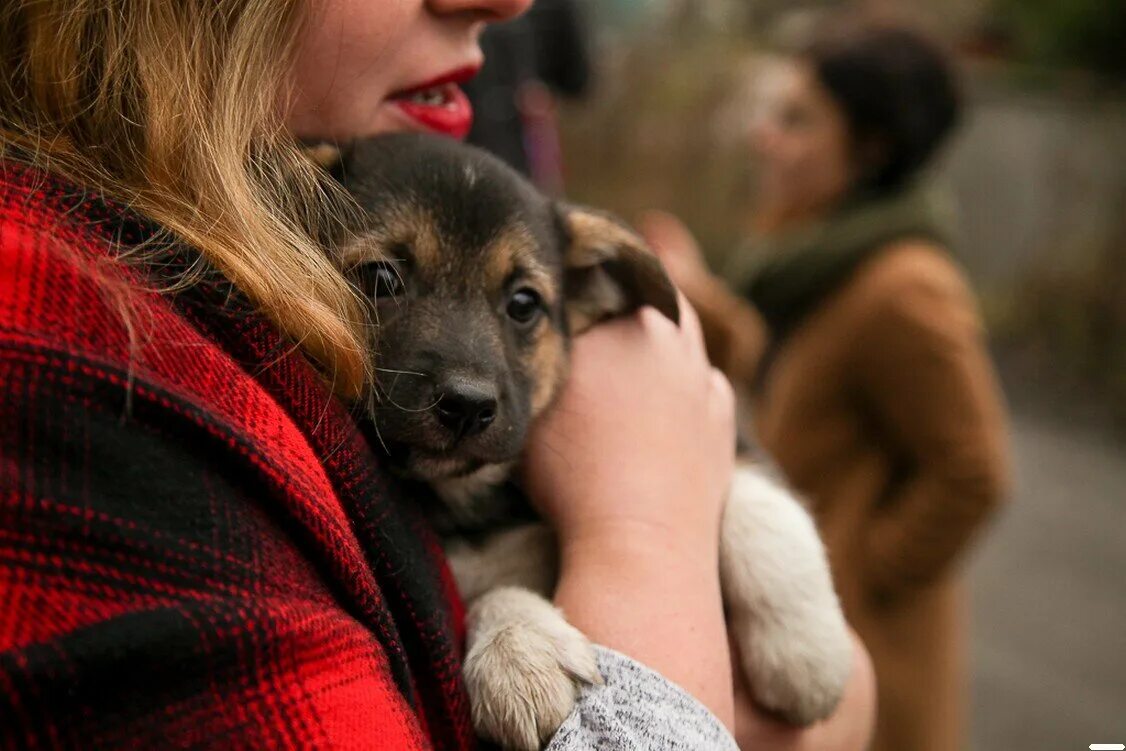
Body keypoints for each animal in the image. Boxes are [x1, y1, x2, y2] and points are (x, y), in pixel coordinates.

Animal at [322, 136, 846, 751]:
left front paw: (804, 653)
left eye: (523, 304)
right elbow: (489, 591)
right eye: (381, 278)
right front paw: (520, 650)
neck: (470, 496)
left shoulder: (733, 430)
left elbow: (760, 504)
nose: (468, 405)